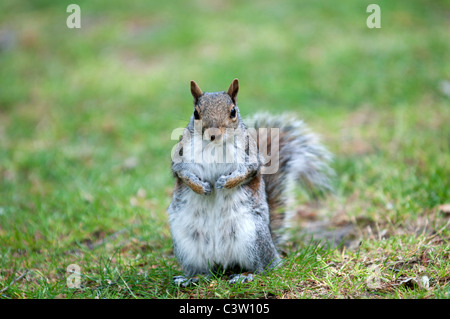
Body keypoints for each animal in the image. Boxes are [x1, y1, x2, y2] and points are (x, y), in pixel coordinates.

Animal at [167, 79, 332, 286]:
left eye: (233, 112)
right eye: (196, 113)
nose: (213, 134)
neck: (214, 146)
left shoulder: (249, 156)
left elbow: (247, 170)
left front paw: (224, 183)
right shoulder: (181, 158)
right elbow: (182, 174)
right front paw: (201, 187)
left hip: (252, 237)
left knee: (263, 268)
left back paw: (246, 275)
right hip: (187, 244)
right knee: (205, 271)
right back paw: (192, 277)